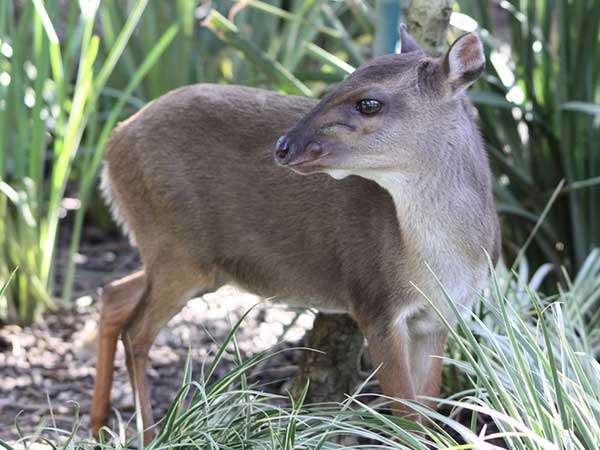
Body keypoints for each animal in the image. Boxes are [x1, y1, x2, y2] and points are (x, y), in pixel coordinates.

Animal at [91, 29, 500, 442]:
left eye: (369, 103)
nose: (284, 146)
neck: (438, 262)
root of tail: (111, 145)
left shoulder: (441, 317)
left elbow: (425, 414)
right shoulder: (375, 301)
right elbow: (405, 417)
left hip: (191, 261)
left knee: (114, 294)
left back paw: (97, 426)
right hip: (175, 246)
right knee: (136, 332)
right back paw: (150, 435)